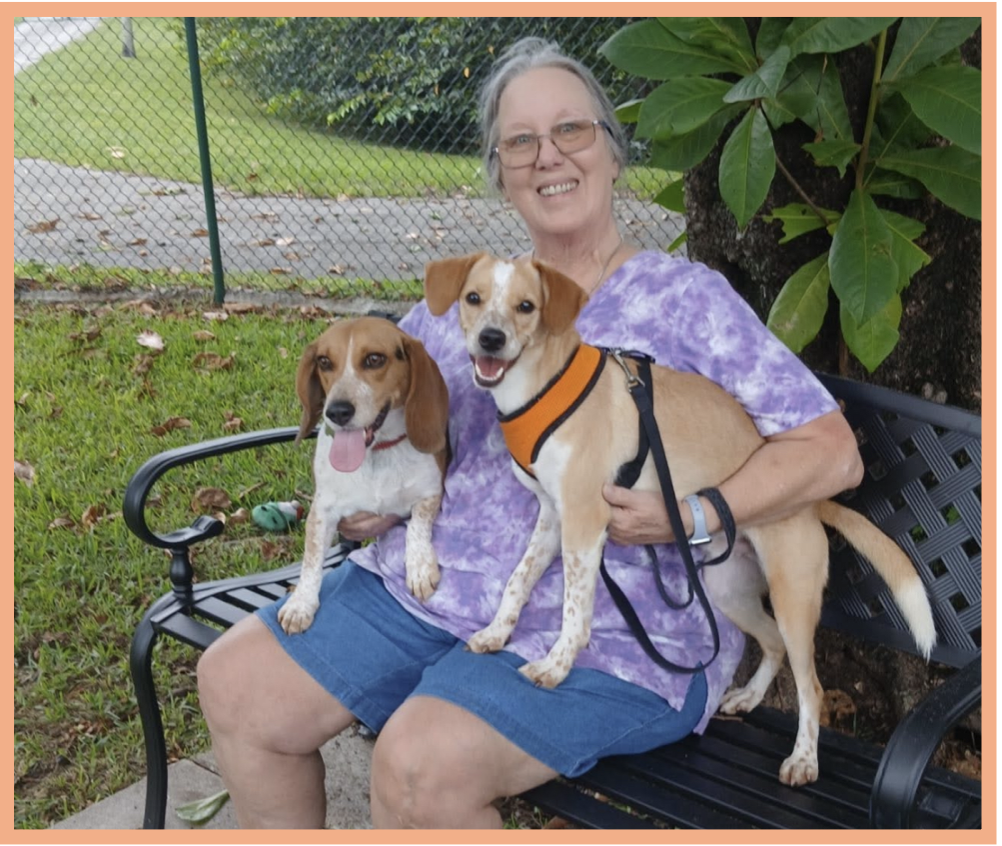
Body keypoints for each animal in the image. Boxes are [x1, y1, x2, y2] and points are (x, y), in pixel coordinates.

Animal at [277, 316, 450, 635]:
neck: (376, 453)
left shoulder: (431, 493)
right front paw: (300, 604)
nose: (336, 412)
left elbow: (417, 526)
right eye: (324, 361)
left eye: (374, 359)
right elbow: (311, 559)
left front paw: (420, 567)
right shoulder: (322, 511)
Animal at [423, 251, 937, 786]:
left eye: (526, 306)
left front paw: (555, 666)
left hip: (792, 597)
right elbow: (517, 581)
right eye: (473, 298)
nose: (490, 339)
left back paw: (803, 759)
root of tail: (815, 504)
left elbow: (574, 610)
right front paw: (495, 633)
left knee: (810, 685)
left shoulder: (585, 523)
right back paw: (749, 697)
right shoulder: (552, 517)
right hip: (728, 590)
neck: (541, 386)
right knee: (772, 643)